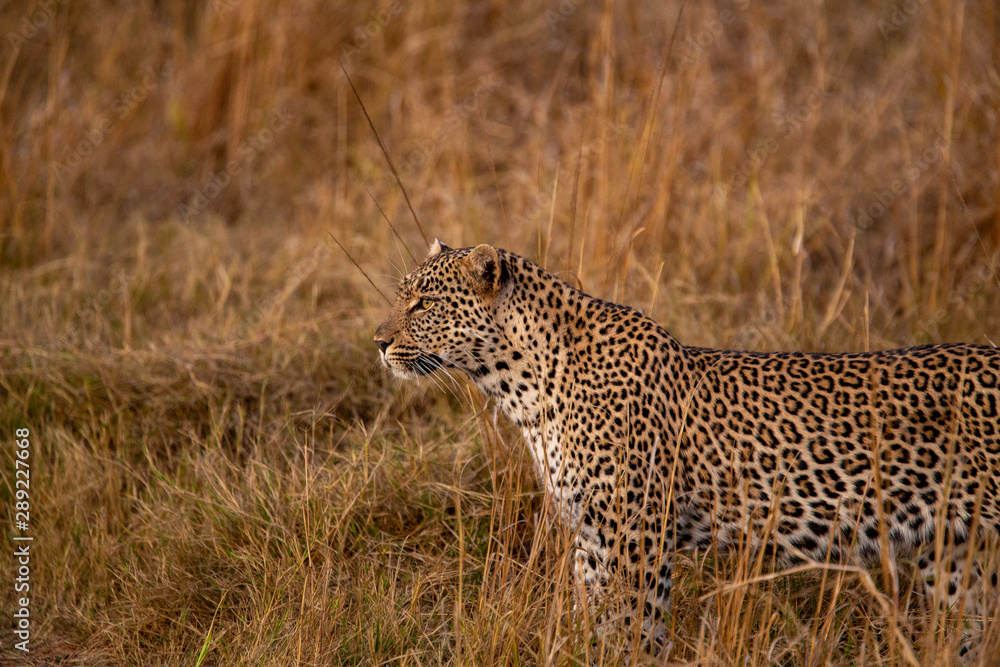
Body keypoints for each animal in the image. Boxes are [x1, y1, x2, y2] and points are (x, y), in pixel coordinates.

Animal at [374, 240, 1000, 658]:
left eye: (424, 303)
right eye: (402, 296)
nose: (378, 342)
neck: (522, 386)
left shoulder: (634, 537)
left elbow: (635, 630)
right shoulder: (592, 539)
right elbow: (594, 623)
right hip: (958, 555)